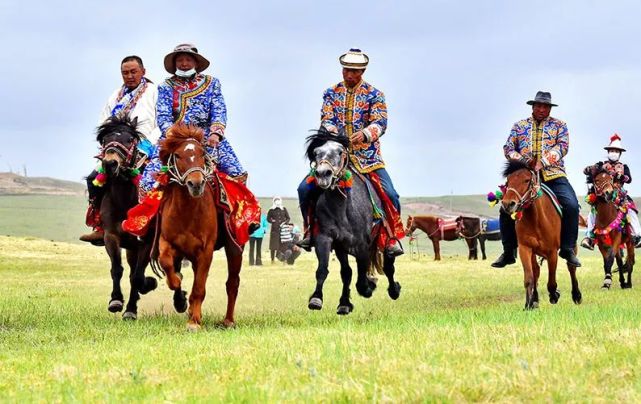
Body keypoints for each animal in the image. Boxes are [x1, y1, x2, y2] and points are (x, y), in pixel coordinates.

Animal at [96, 114, 159, 318]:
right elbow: (117, 269)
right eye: (105, 140)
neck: (125, 200)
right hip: (131, 248)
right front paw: (116, 301)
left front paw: (133, 306)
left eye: (130, 140)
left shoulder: (146, 241)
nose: (110, 164)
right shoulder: (111, 236)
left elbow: (138, 277)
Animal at [302, 129, 398, 316]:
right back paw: (344, 303)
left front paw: (369, 287)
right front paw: (317, 299)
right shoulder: (326, 239)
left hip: (382, 239)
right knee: (347, 272)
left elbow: (361, 279)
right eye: (316, 153)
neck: (342, 207)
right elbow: (324, 270)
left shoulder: (362, 245)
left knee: (389, 266)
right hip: (342, 247)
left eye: (340, 152)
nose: (323, 174)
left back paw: (394, 290)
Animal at [502, 160, 584, 310]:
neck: (536, 219)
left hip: (572, 247)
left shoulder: (552, 252)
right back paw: (534, 299)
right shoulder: (525, 249)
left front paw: (555, 295)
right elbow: (529, 278)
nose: (507, 204)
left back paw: (576, 295)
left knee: (571, 267)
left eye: (526, 180)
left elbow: (552, 282)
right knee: (536, 271)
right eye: (508, 181)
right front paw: (528, 304)